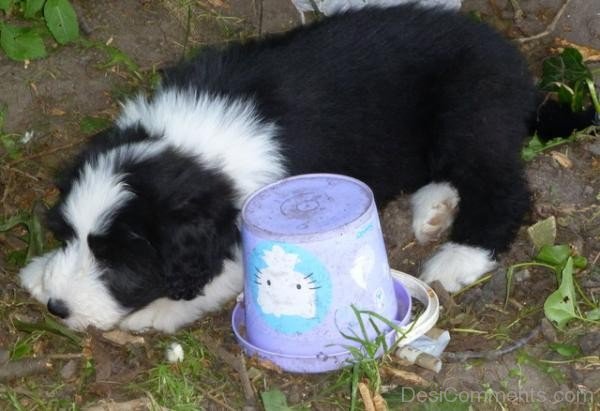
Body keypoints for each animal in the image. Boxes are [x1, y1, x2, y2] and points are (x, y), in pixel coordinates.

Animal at [19, 4, 540, 334]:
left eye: (119, 263)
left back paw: (459, 256)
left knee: (503, 186)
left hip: (470, 115)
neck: (194, 144)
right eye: (66, 235)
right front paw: (43, 269)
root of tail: (512, 58)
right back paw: (435, 208)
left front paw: (161, 308)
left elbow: (223, 270)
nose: (58, 308)